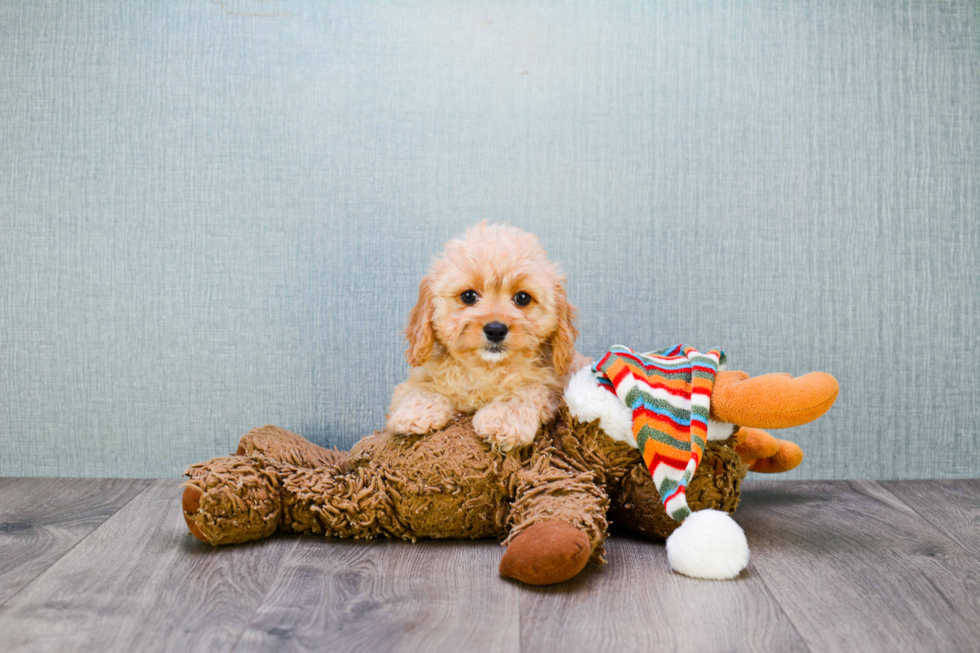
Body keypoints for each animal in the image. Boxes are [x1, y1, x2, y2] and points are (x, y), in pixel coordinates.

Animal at [382, 222, 580, 450]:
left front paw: (503, 419)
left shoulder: (552, 387)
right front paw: (416, 412)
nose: (495, 329)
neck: (486, 368)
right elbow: (418, 389)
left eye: (522, 298)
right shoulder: (413, 380)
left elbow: (528, 391)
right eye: (468, 296)